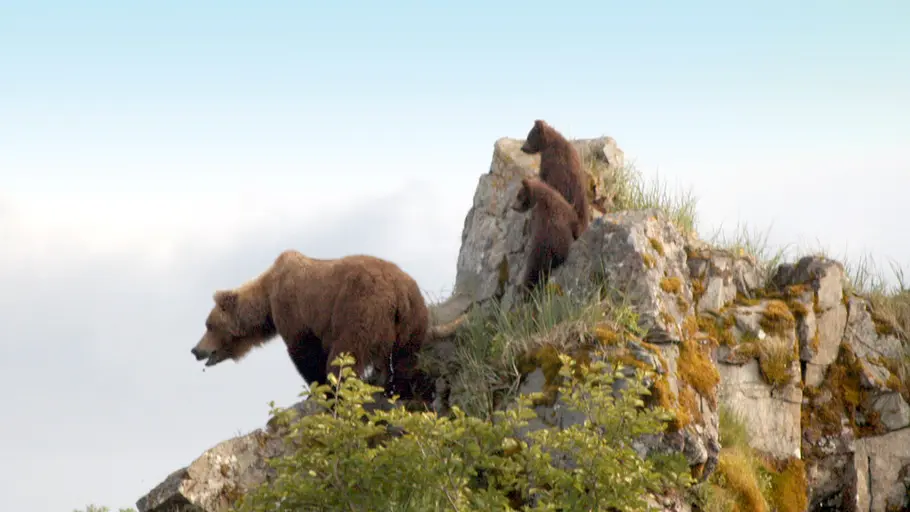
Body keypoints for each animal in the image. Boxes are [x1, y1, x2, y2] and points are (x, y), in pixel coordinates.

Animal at [190, 249, 451, 402]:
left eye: (209, 325)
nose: (195, 350)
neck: (267, 298)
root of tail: (399, 292)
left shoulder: (294, 309)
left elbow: (304, 352)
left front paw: (318, 387)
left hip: (361, 309)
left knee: (345, 356)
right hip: (413, 320)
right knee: (406, 359)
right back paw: (401, 390)